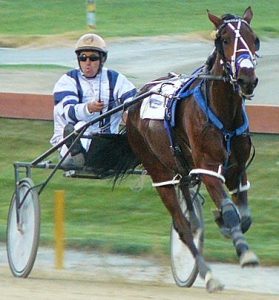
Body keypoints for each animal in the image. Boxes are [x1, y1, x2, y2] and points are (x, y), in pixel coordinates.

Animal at [126, 6, 260, 292]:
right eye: (224, 40)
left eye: (254, 39)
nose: (247, 79)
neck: (223, 112)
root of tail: (136, 99)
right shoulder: (208, 168)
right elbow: (230, 212)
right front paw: (245, 252)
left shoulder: (237, 170)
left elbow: (243, 217)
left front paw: (224, 223)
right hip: (159, 172)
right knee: (183, 226)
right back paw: (209, 275)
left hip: (182, 169)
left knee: (189, 210)